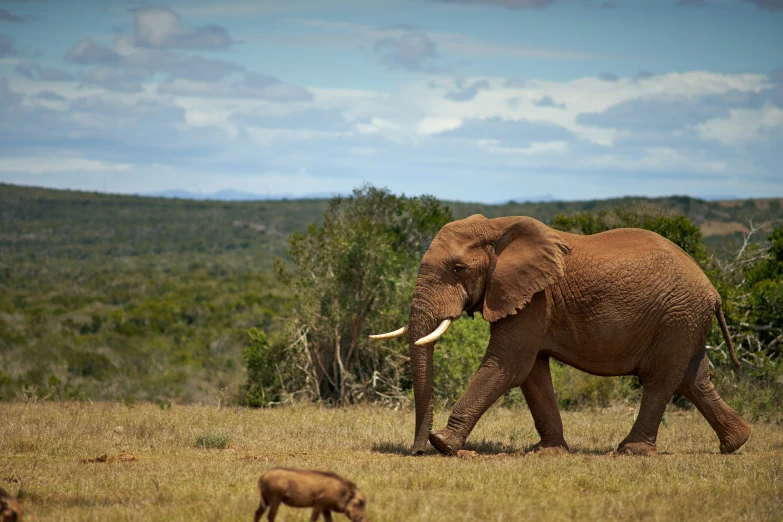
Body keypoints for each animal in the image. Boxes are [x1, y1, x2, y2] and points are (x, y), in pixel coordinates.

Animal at [370, 213, 752, 452]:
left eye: (458, 269)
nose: (417, 451)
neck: (498, 228)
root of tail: (713, 290)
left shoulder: (535, 297)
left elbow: (507, 365)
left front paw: (444, 444)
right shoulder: (531, 299)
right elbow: (532, 373)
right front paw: (548, 451)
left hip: (677, 315)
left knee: (661, 379)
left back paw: (631, 451)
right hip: (684, 320)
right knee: (693, 379)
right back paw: (738, 442)